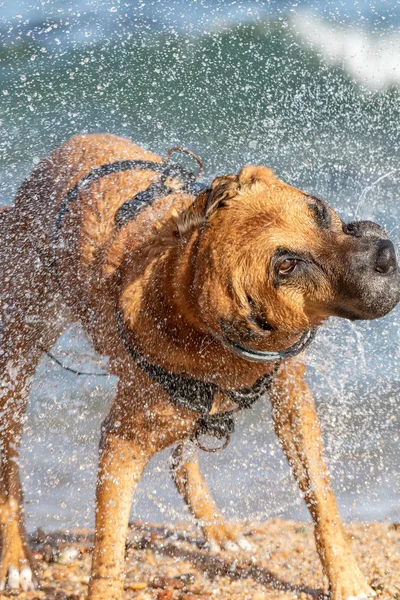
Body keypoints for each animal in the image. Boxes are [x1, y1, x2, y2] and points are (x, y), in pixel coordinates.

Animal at [0, 134, 400, 596]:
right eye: (285, 266)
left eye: (317, 209)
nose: (386, 255)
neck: (185, 290)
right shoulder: (121, 443)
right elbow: (108, 547)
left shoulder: (293, 402)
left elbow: (321, 499)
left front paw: (346, 577)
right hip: (17, 358)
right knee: (9, 470)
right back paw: (17, 559)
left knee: (181, 461)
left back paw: (218, 529)